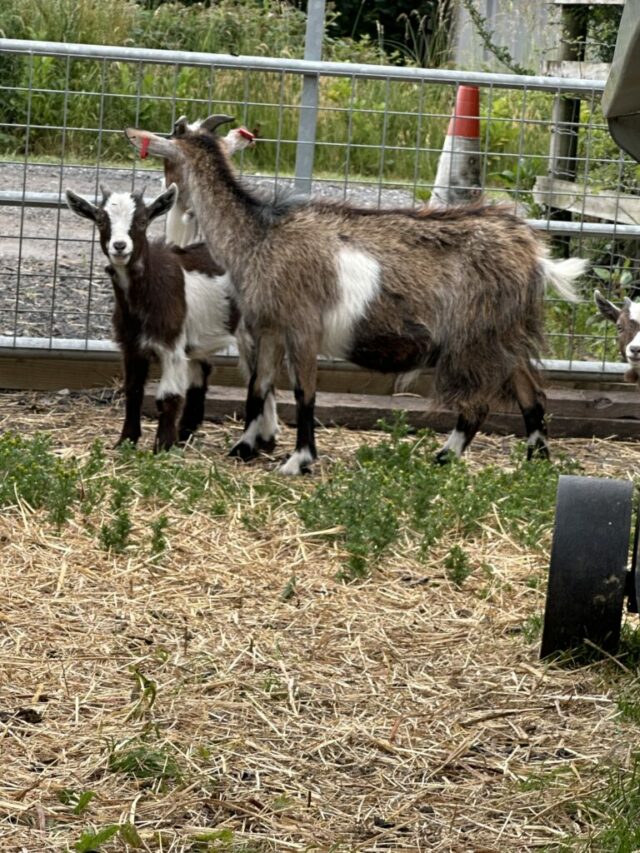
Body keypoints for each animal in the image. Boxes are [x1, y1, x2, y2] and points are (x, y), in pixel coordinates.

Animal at [66, 183, 241, 451]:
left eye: (141, 221)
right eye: (101, 221)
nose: (120, 246)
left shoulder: (171, 347)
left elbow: (168, 397)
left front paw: (162, 448)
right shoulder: (131, 347)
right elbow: (133, 391)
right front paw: (126, 441)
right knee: (202, 372)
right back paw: (186, 433)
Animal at [125, 115, 587, 474]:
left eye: (167, 158)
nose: (166, 201)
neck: (261, 235)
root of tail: (534, 253)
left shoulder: (303, 326)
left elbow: (304, 393)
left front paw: (299, 460)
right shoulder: (269, 326)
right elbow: (258, 386)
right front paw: (244, 447)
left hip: (477, 336)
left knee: (480, 403)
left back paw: (446, 456)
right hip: (502, 335)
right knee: (530, 391)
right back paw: (535, 459)